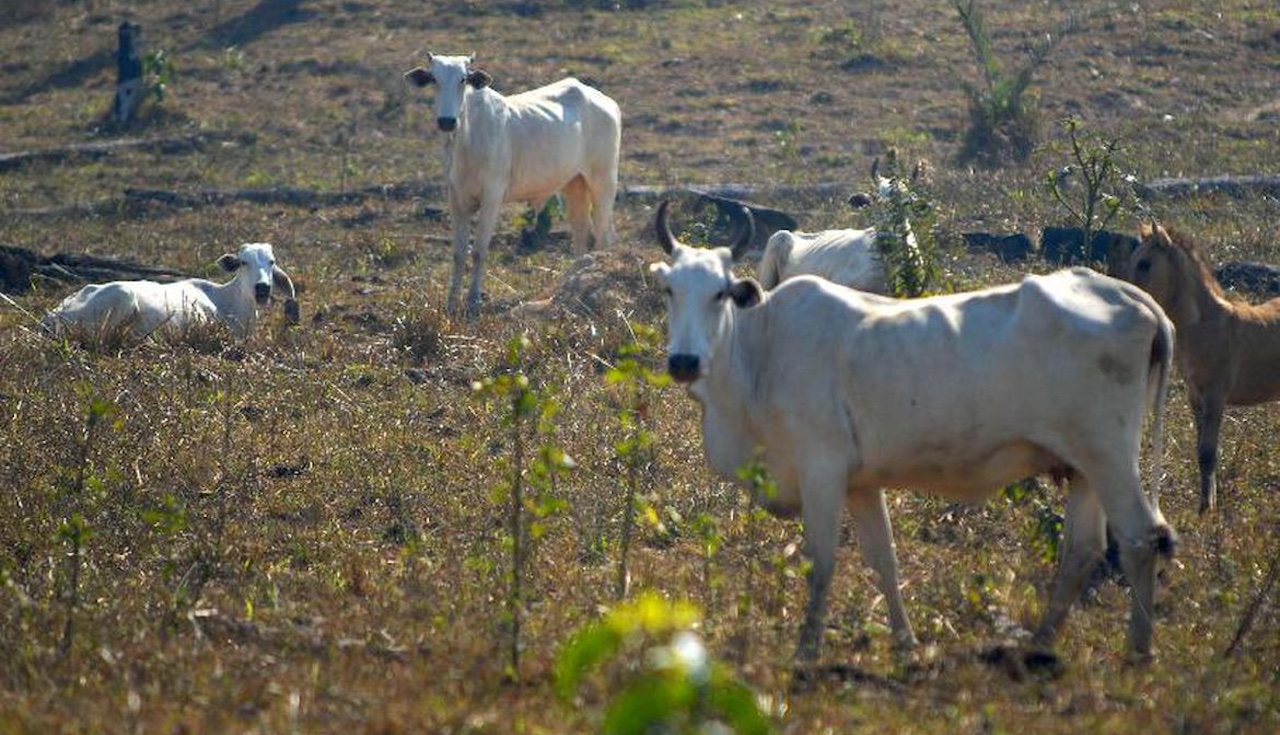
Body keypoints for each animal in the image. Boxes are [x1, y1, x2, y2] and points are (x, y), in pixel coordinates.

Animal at [399, 53, 619, 315]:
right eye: (434, 79)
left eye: (463, 79)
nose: (446, 121)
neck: (466, 138)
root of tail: (605, 101)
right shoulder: (455, 197)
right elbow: (458, 252)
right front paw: (451, 302)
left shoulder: (492, 195)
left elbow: (479, 250)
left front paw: (473, 300)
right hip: (574, 184)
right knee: (580, 234)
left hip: (603, 181)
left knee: (604, 237)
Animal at [650, 203, 1177, 665]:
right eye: (670, 290)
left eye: (720, 292)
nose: (684, 362)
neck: (760, 351)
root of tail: (1134, 298)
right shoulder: (860, 484)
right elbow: (883, 560)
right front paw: (906, 644)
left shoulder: (822, 469)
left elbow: (821, 562)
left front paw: (806, 650)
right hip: (1084, 466)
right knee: (1082, 550)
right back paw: (1041, 643)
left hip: (1109, 455)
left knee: (1141, 537)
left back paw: (1139, 650)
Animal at [1131, 225, 1280, 512]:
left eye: (1145, 263)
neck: (1205, 326)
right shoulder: (1195, 397)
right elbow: (1202, 450)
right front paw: (1206, 503)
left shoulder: (1216, 395)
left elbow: (1208, 453)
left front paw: (1206, 511)